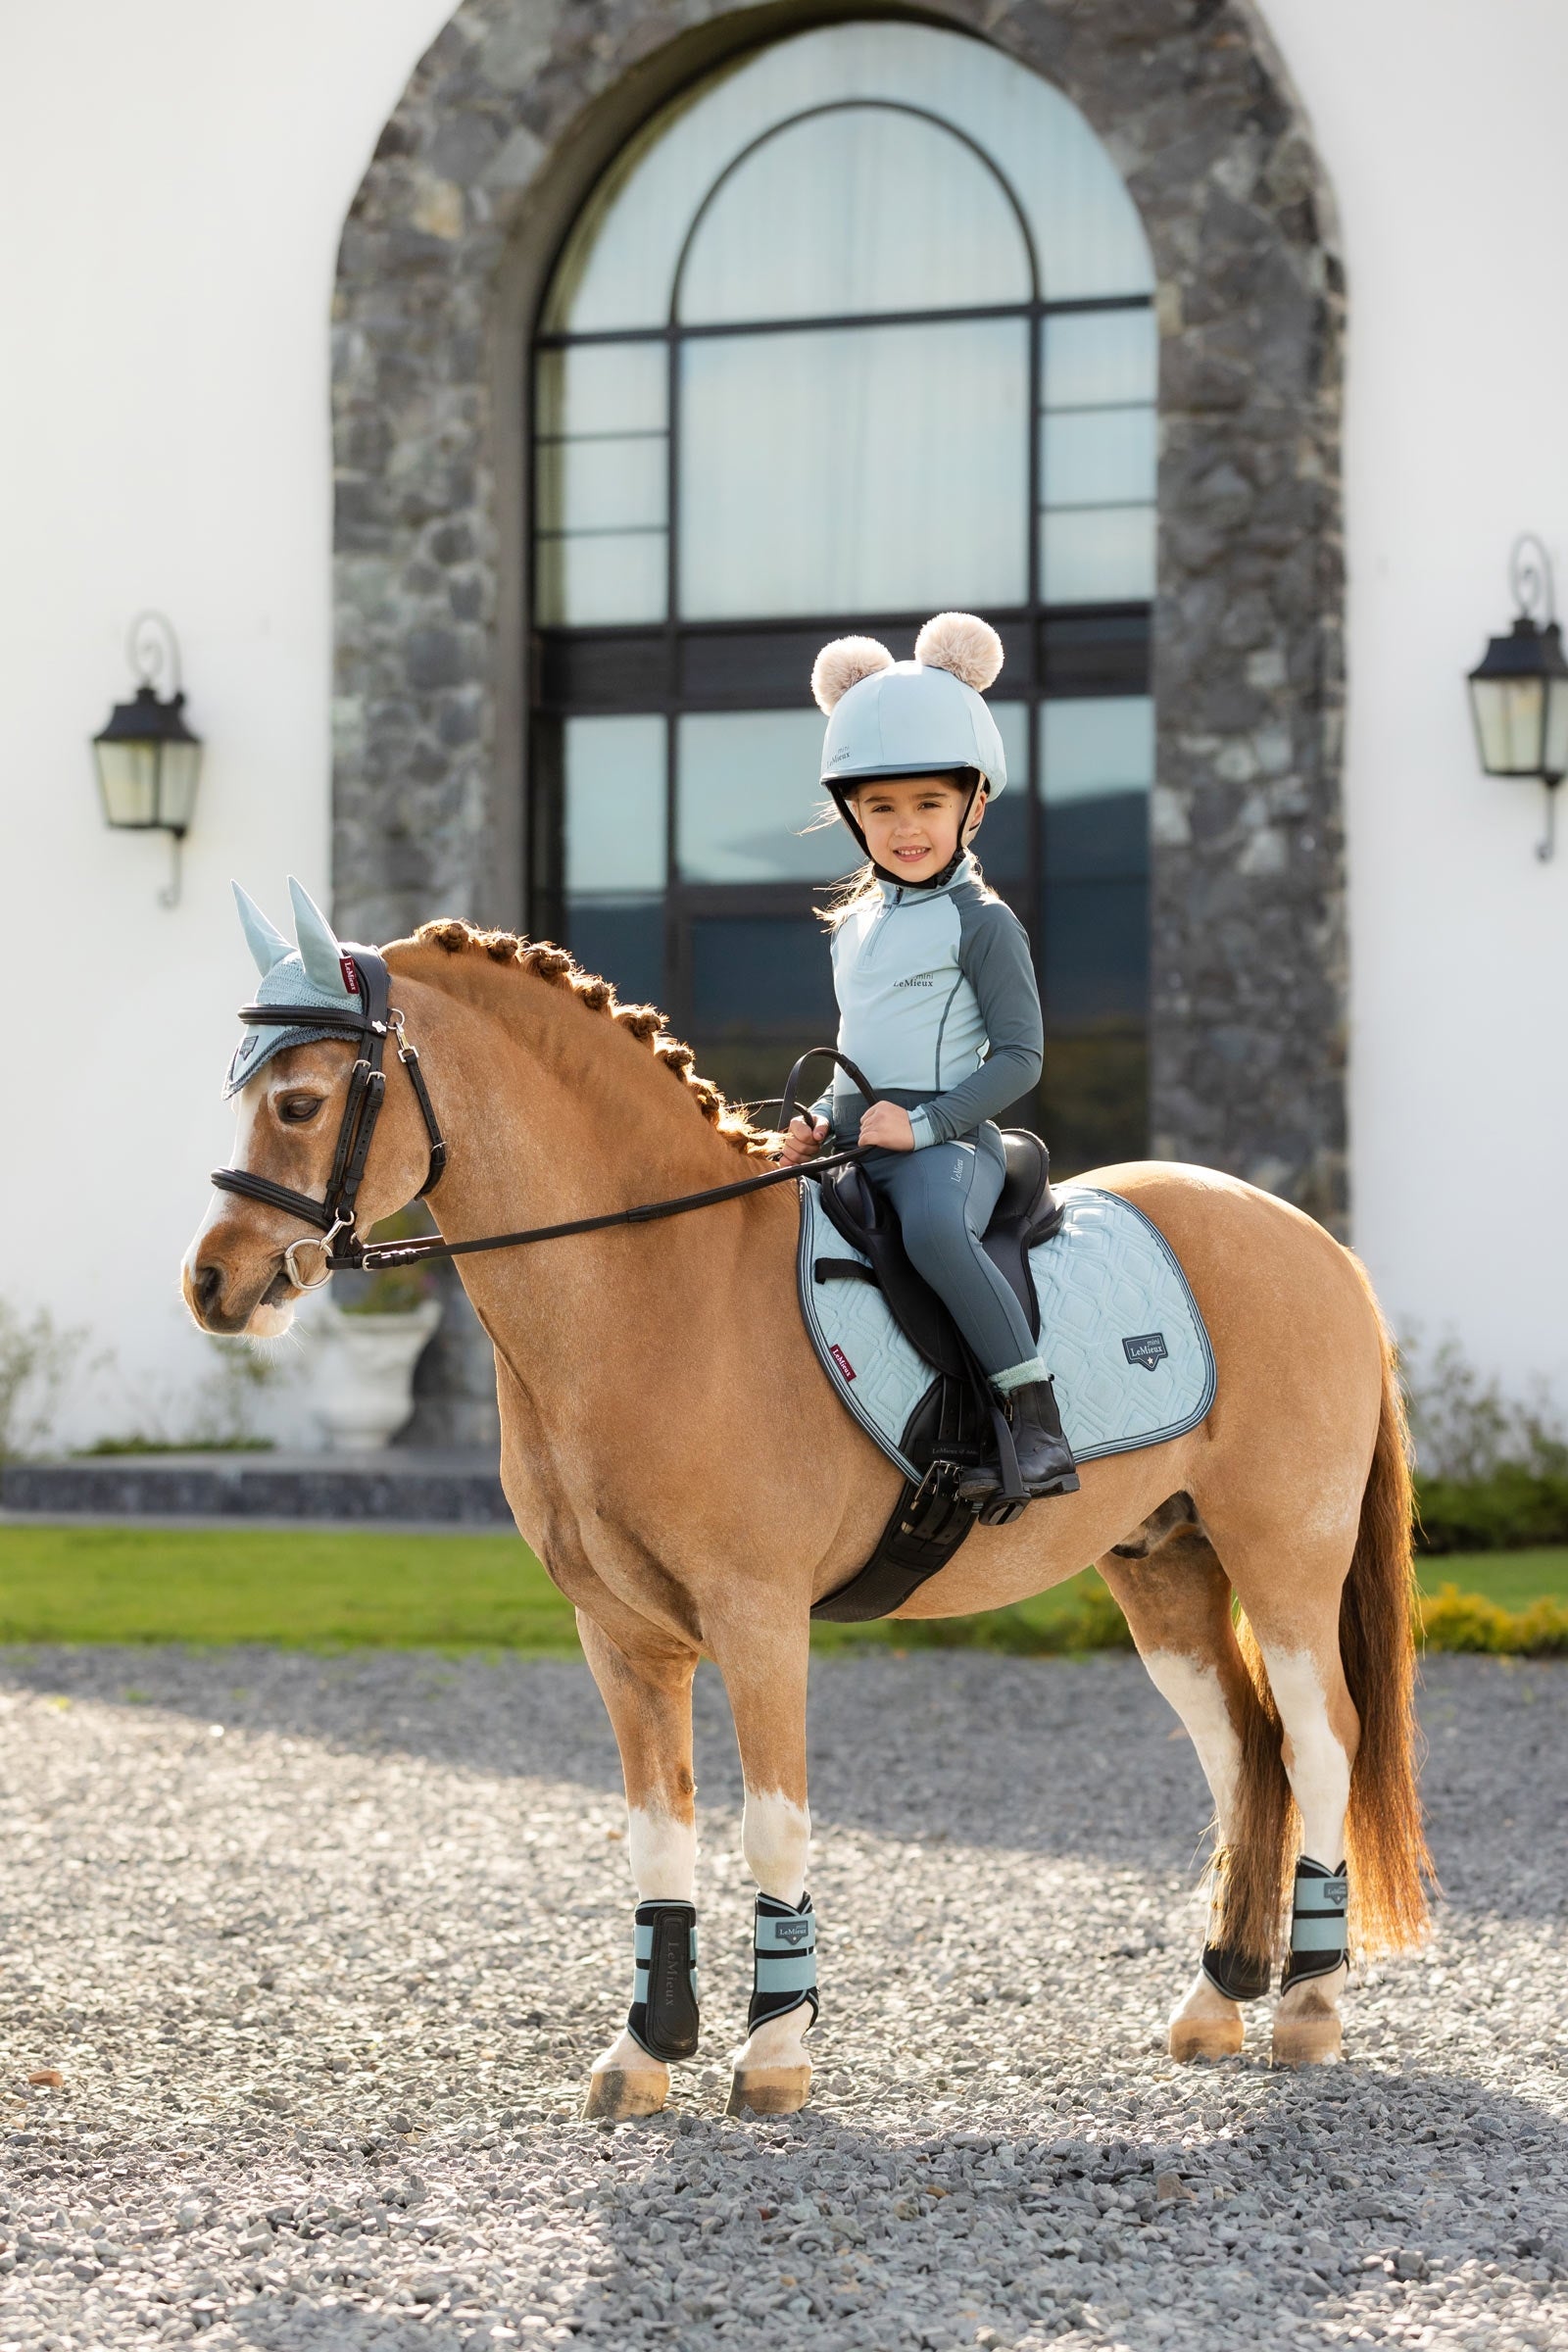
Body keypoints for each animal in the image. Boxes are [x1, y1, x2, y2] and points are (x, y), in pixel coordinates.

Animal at [183, 910, 1431, 2120]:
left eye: (300, 1101)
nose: (212, 1284)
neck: (654, 1281)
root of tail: (1312, 1243)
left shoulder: (759, 1618)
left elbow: (769, 1822)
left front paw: (774, 2055)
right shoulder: (619, 1635)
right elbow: (657, 1832)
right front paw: (644, 2054)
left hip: (1284, 1560)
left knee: (1319, 1742)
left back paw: (1307, 2009)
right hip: (1162, 1568)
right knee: (1242, 1752)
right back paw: (1216, 2000)